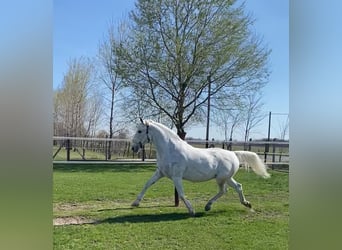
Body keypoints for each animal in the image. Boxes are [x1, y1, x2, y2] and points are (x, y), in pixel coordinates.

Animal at [131, 118, 270, 215]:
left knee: (224, 190)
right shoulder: (160, 173)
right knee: (237, 187)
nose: (133, 148)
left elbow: (181, 194)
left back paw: (208, 206)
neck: (170, 149)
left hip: (221, 179)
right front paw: (135, 203)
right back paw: (246, 204)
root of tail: (233, 153)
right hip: (227, 178)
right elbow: (147, 184)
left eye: (139, 131)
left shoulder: (177, 176)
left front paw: (191, 210)